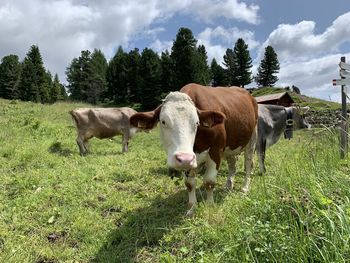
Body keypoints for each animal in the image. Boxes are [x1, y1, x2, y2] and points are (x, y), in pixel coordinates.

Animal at [129, 83, 258, 216]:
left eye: (197, 122)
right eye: (163, 122)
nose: (184, 158)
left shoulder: (216, 152)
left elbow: (209, 182)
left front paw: (209, 205)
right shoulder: (190, 159)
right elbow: (190, 184)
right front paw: (191, 208)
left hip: (252, 137)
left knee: (249, 164)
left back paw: (245, 188)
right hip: (231, 146)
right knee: (232, 163)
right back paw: (228, 185)